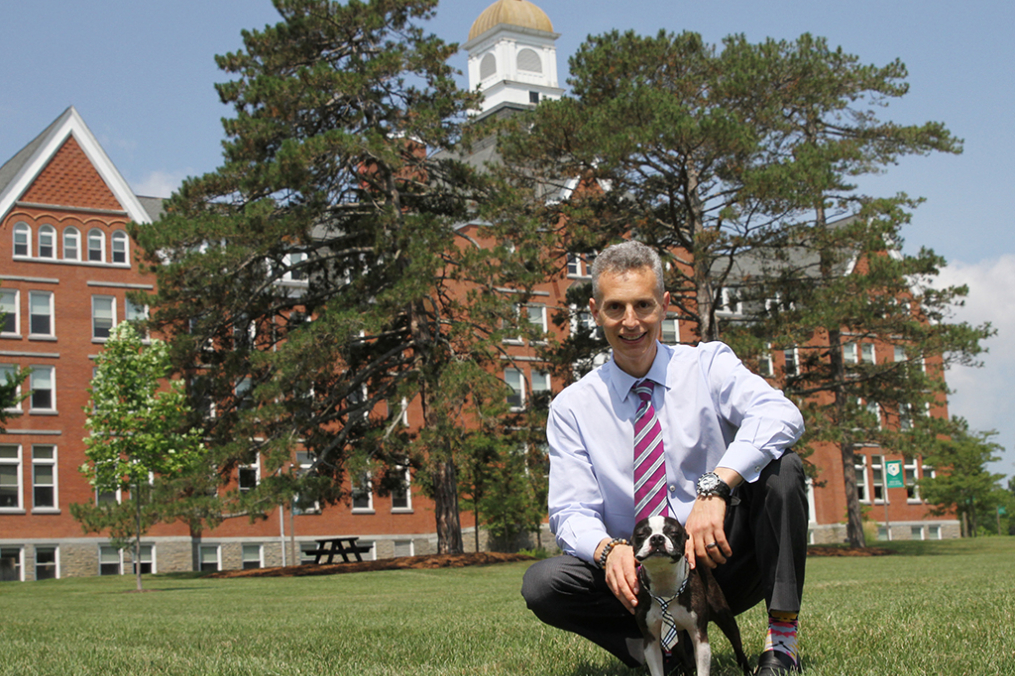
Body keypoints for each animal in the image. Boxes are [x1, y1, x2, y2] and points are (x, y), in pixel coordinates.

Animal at [633, 513, 755, 669]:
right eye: (641, 534)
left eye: (673, 533)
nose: (657, 538)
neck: (664, 580)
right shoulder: (651, 641)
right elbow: (656, 669)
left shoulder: (699, 637)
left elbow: (702, 668)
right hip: (673, 639)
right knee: (685, 661)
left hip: (724, 616)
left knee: (737, 645)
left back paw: (746, 669)